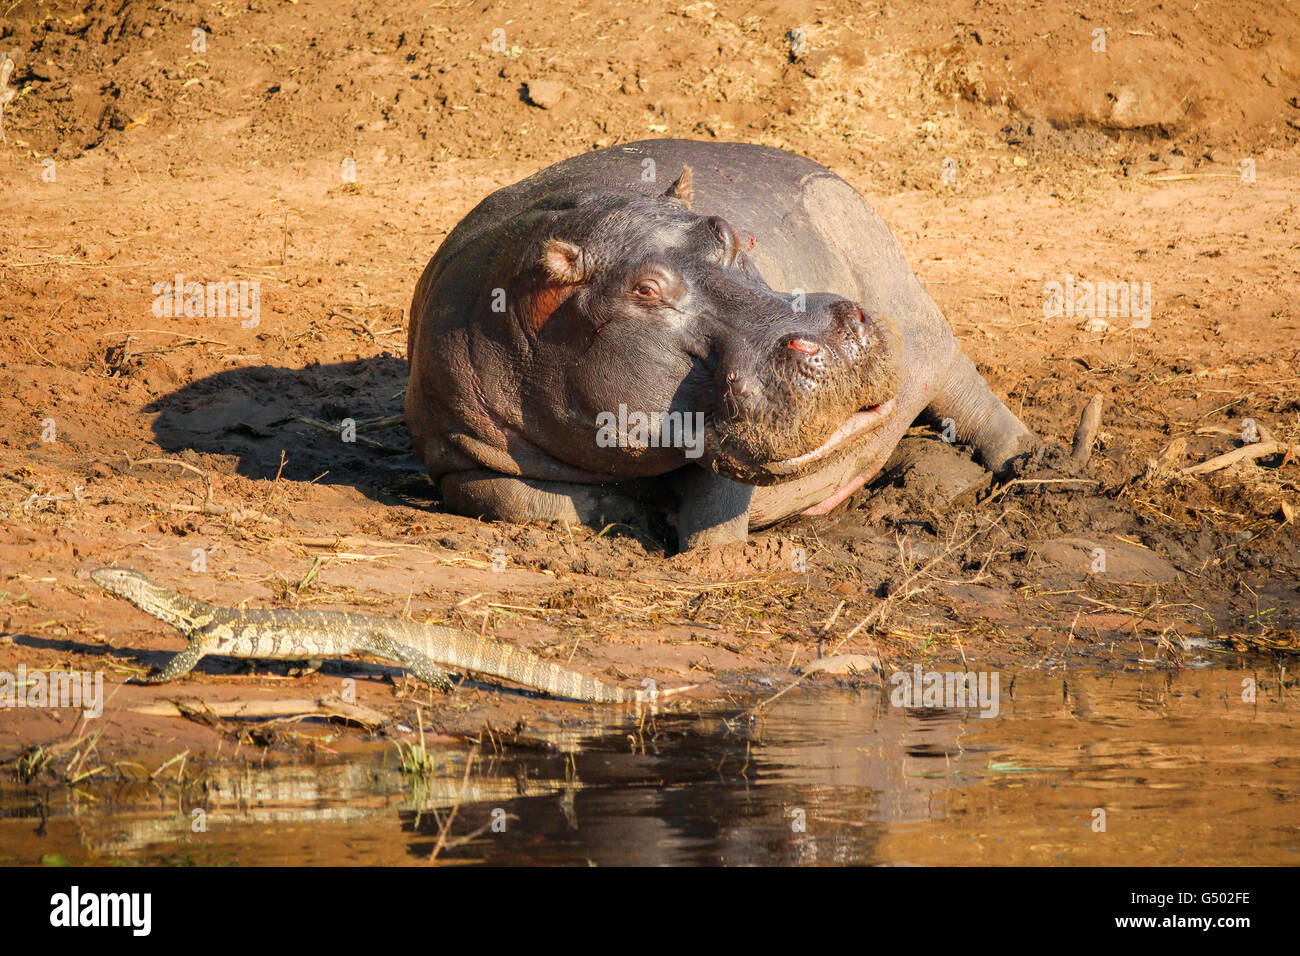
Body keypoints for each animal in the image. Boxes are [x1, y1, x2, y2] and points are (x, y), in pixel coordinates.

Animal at [406, 139, 1037, 551]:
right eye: (645, 290)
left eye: (727, 232)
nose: (833, 331)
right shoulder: (453, 453)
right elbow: (520, 500)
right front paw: (629, 514)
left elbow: (716, 511)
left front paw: (709, 557)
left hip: (922, 322)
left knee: (974, 401)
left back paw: (1030, 463)